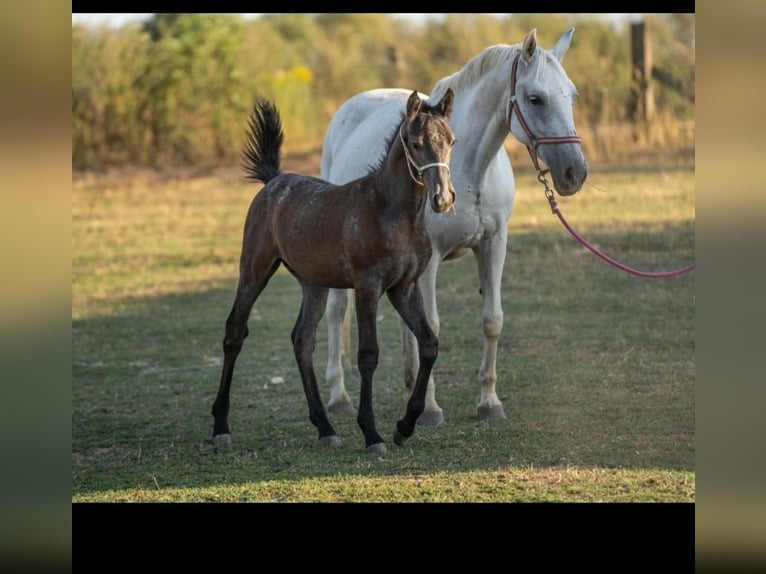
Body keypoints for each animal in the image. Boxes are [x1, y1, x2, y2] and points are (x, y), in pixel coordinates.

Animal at [318, 28, 588, 428]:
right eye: (535, 98)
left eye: (572, 95)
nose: (574, 173)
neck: (470, 167)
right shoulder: (430, 260)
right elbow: (430, 326)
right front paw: (429, 409)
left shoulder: (494, 245)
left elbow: (492, 320)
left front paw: (489, 402)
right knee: (337, 311)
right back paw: (339, 397)